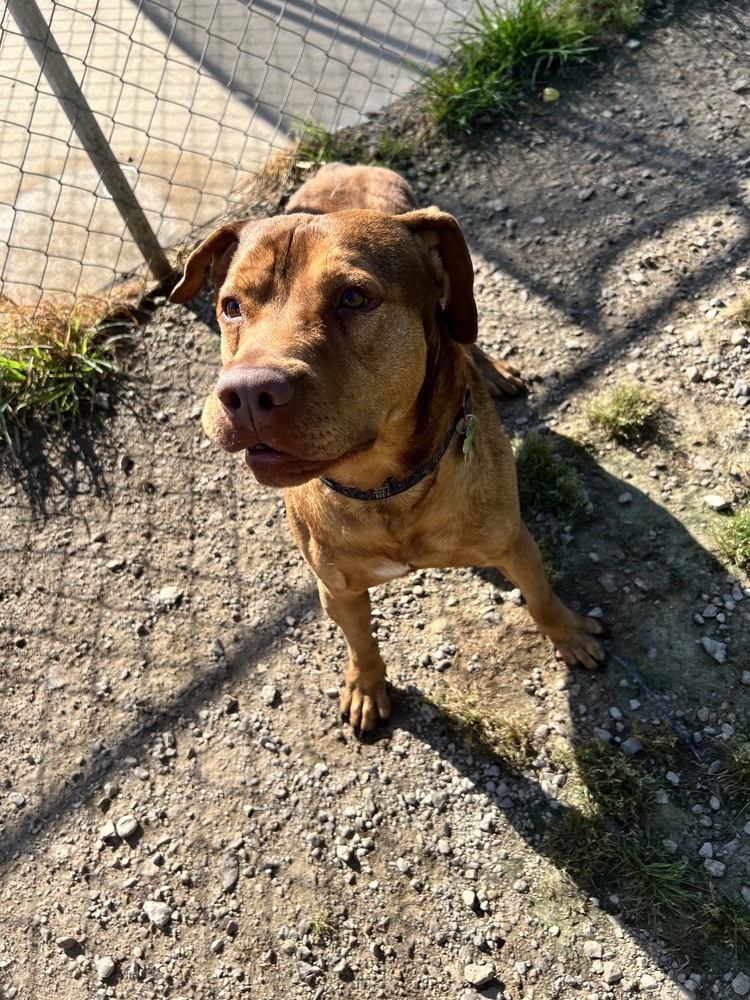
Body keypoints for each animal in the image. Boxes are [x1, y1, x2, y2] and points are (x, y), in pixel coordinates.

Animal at [172, 162, 604, 728]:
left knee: (463, 325)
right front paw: (366, 687)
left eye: (353, 298)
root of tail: (344, 164)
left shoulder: (514, 543)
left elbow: (542, 597)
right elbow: (361, 643)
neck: (386, 487)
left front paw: (570, 635)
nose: (245, 393)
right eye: (231, 306)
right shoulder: (337, 589)